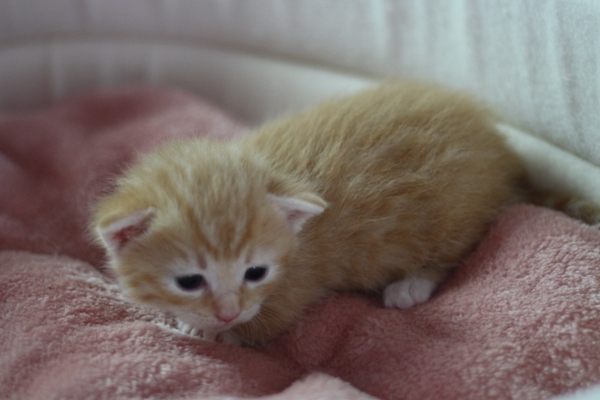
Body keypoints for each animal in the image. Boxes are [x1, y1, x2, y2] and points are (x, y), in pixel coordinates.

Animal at [90, 81, 556, 344]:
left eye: (255, 273)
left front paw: (210, 331)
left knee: (456, 249)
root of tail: (500, 150)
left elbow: (260, 327)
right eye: (189, 281)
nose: (227, 311)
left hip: (453, 214)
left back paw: (412, 285)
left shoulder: (295, 286)